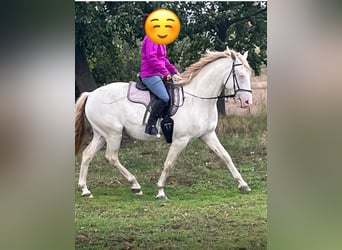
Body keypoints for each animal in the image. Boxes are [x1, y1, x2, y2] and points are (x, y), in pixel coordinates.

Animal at [76, 48, 252, 199]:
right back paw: (135, 185)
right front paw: (160, 191)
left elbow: (225, 156)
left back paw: (85, 190)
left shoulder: (208, 134)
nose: (247, 101)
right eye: (240, 75)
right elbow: (169, 163)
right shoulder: (180, 140)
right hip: (113, 134)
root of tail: (91, 94)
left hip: (101, 135)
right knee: (111, 157)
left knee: (87, 155)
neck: (197, 99)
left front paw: (243, 184)